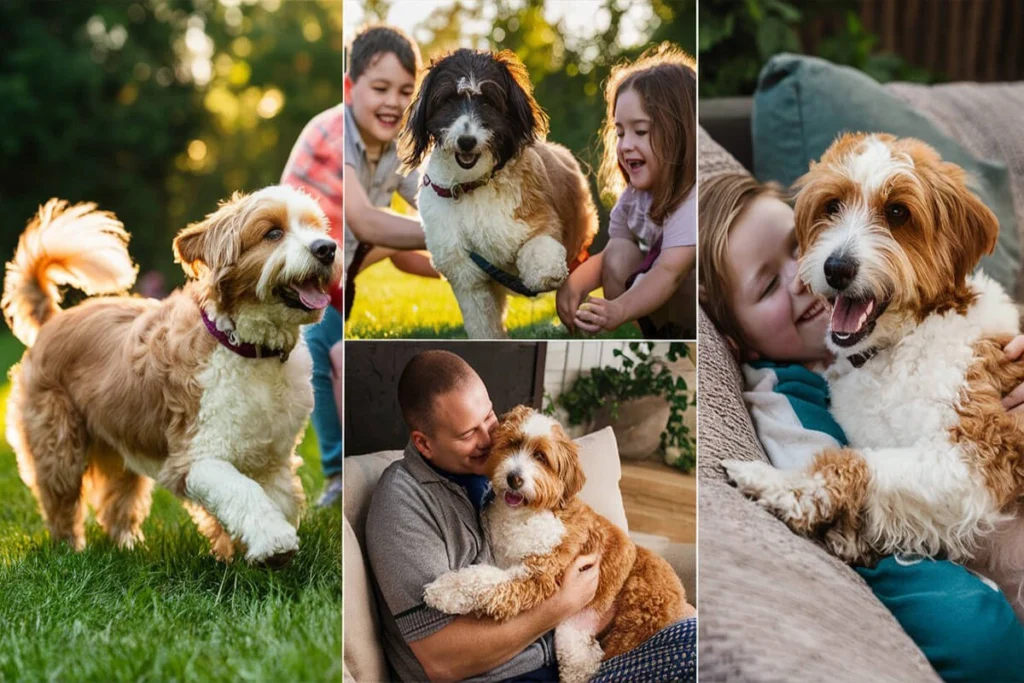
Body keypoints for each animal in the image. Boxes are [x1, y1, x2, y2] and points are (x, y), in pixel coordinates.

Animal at [395, 48, 598, 339]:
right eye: (448, 100)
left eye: (488, 102)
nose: (466, 141)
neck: (472, 186)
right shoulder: (468, 274)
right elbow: (483, 323)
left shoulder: (537, 222)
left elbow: (541, 253)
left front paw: (545, 274)